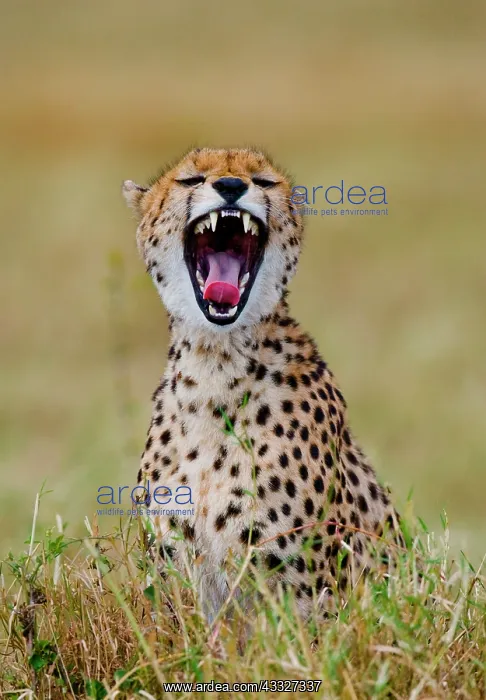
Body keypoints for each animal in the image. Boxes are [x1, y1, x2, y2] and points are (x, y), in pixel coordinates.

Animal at [122, 147, 401, 622]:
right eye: (190, 179)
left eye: (264, 181)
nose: (231, 186)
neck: (214, 365)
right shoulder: (176, 580)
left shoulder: (305, 594)